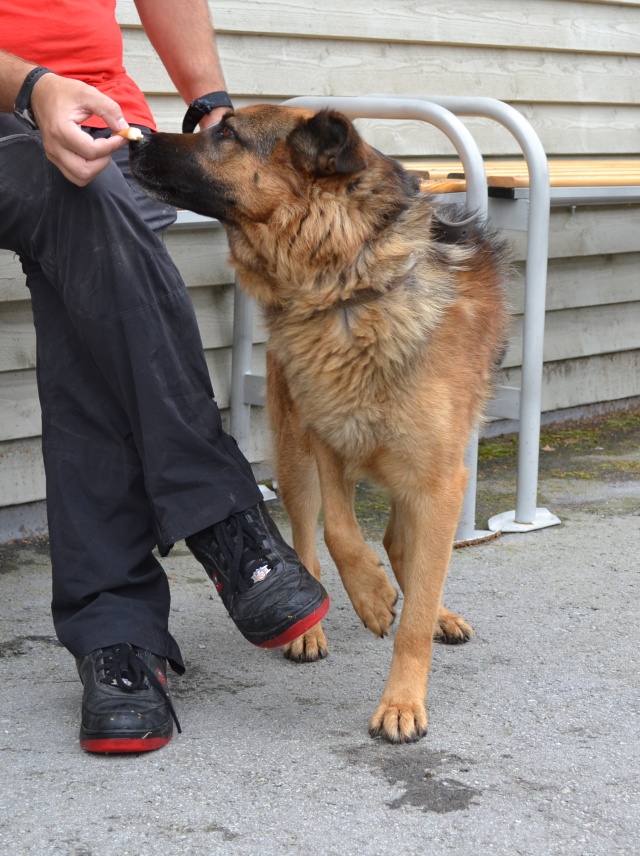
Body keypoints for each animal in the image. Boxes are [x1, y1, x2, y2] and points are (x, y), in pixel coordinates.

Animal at [130, 105, 510, 743]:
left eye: (226, 133)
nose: (134, 141)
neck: (348, 285)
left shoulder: (440, 480)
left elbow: (413, 597)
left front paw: (402, 698)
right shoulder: (329, 440)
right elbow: (338, 532)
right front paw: (373, 597)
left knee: (403, 547)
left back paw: (436, 612)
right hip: (295, 451)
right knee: (309, 539)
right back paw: (310, 625)